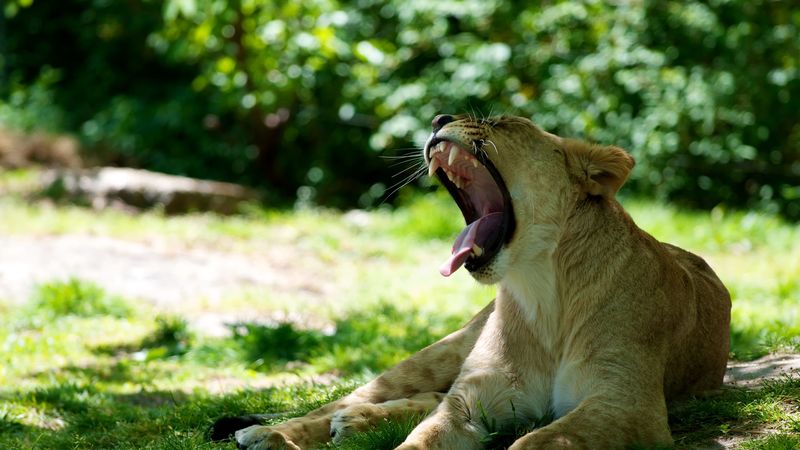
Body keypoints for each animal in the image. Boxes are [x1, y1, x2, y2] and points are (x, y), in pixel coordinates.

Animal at [212, 114, 731, 449]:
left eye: (503, 123)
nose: (439, 116)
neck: (543, 292)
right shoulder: (475, 396)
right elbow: (422, 437)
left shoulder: (626, 403)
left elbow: (537, 442)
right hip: (441, 351)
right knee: (352, 399)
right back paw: (274, 433)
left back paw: (355, 423)